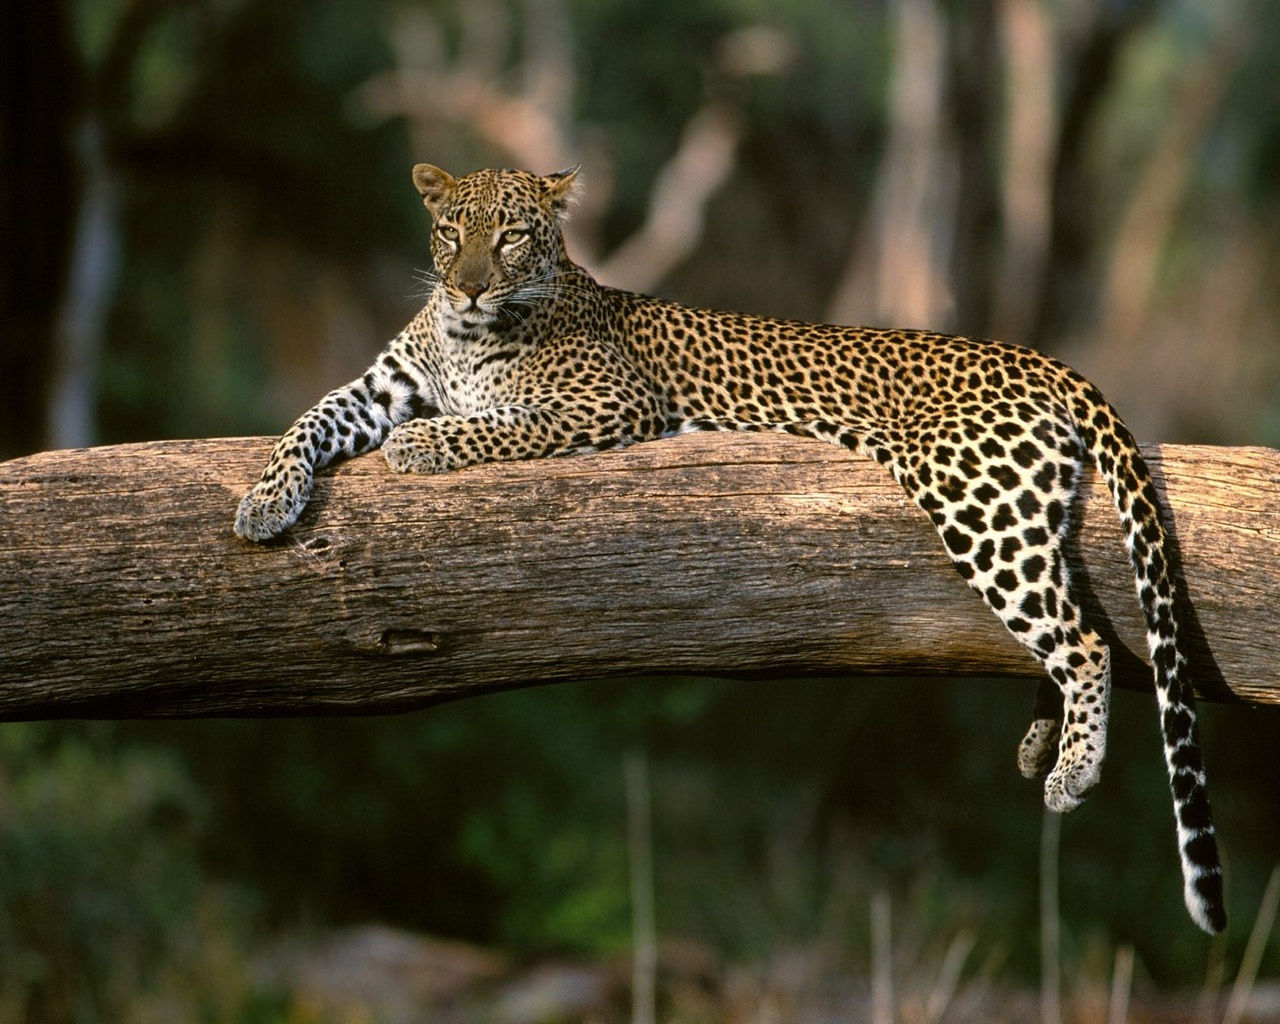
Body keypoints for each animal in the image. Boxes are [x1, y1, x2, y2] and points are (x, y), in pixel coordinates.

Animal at [238, 161, 1228, 936]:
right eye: (452, 232)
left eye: (513, 237)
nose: (470, 285)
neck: (463, 333)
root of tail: (1038, 358)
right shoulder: (378, 387)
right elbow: (308, 420)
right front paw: (261, 504)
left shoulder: (605, 405)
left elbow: (486, 425)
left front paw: (420, 446)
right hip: (1022, 508)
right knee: (1068, 615)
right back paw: (1037, 743)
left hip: (974, 499)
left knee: (1086, 639)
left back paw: (1071, 772)